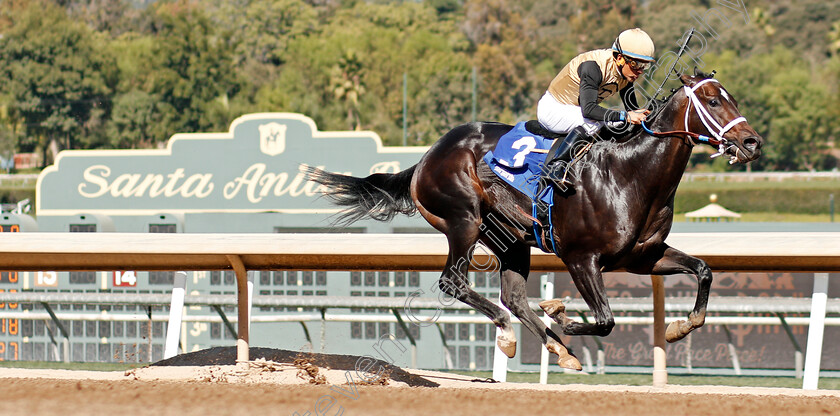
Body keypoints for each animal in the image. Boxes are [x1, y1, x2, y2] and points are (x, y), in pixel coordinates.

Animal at [306, 72, 760, 370]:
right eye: (713, 101)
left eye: (733, 98)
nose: (751, 142)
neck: (629, 174)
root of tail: (427, 156)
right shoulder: (581, 258)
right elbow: (604, 321)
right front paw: (561, 311)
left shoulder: (641, 257)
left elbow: (702, 270)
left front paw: (679, 328)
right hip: (464, 220)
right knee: (456, 283)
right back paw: (512, 333)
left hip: (511, 239)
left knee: (513, 296)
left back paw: (555, 349)